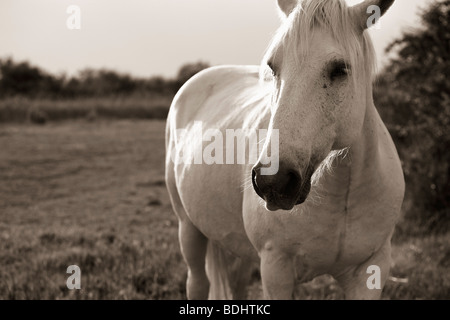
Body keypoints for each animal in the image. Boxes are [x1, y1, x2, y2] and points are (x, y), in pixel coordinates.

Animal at [164, 0, 404, 300]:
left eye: (339, 69)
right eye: (273, 67)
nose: (273, 181)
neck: (342, 196)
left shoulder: (370, 269)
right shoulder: (275, 267)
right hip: (189, 229)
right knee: (197, 282)